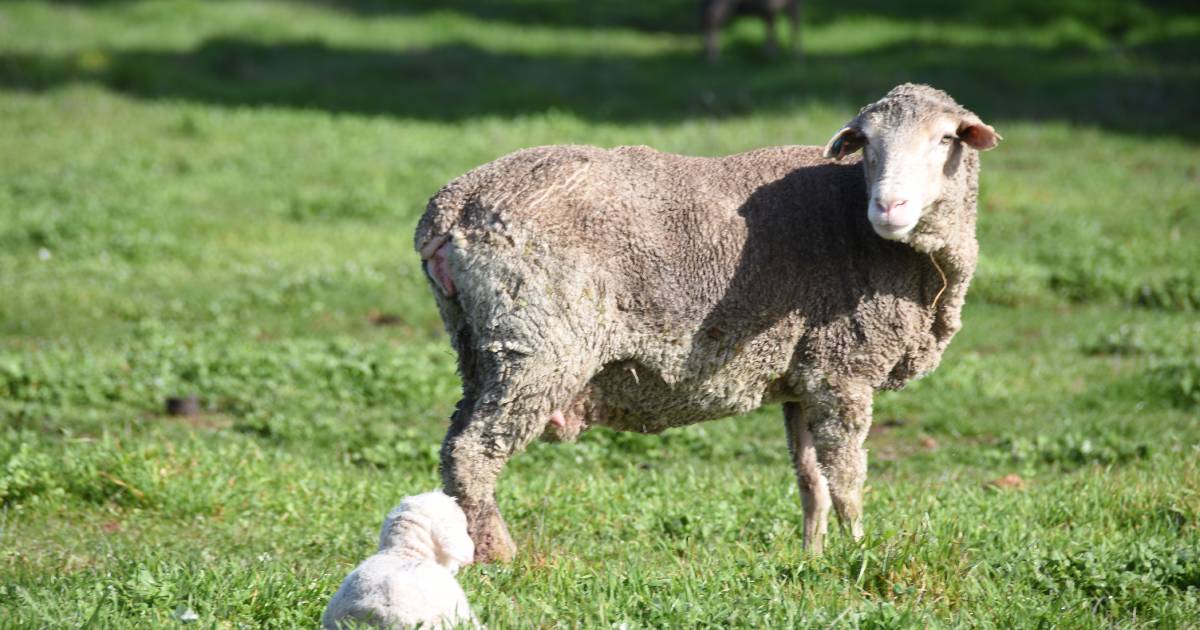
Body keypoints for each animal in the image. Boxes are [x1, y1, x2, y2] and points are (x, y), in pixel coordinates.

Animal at [417, 83, 998, 559]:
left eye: (946, 140)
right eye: (868, 145)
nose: (889, 206)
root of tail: (450, 209)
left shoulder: (804, 375)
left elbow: (811, 480)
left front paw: (812, 558)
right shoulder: (843, 368)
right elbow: (847, 478)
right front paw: (858, 554)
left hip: (479, 345)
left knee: (453, 448)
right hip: (538, 345)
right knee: (475, 452)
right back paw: (500, 555)